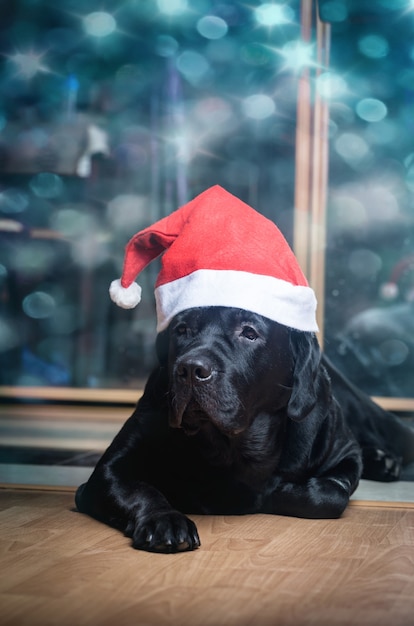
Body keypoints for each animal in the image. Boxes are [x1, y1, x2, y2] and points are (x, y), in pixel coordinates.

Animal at [75, 306, 414, 552]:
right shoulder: (109, 469)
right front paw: (165, 520)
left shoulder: (343, 452)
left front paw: (276, 491)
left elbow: (330, 494)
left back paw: (385, 460)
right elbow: (138, 489)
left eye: (249, 333)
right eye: (181, 330)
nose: (190, 369)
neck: (232, 446)